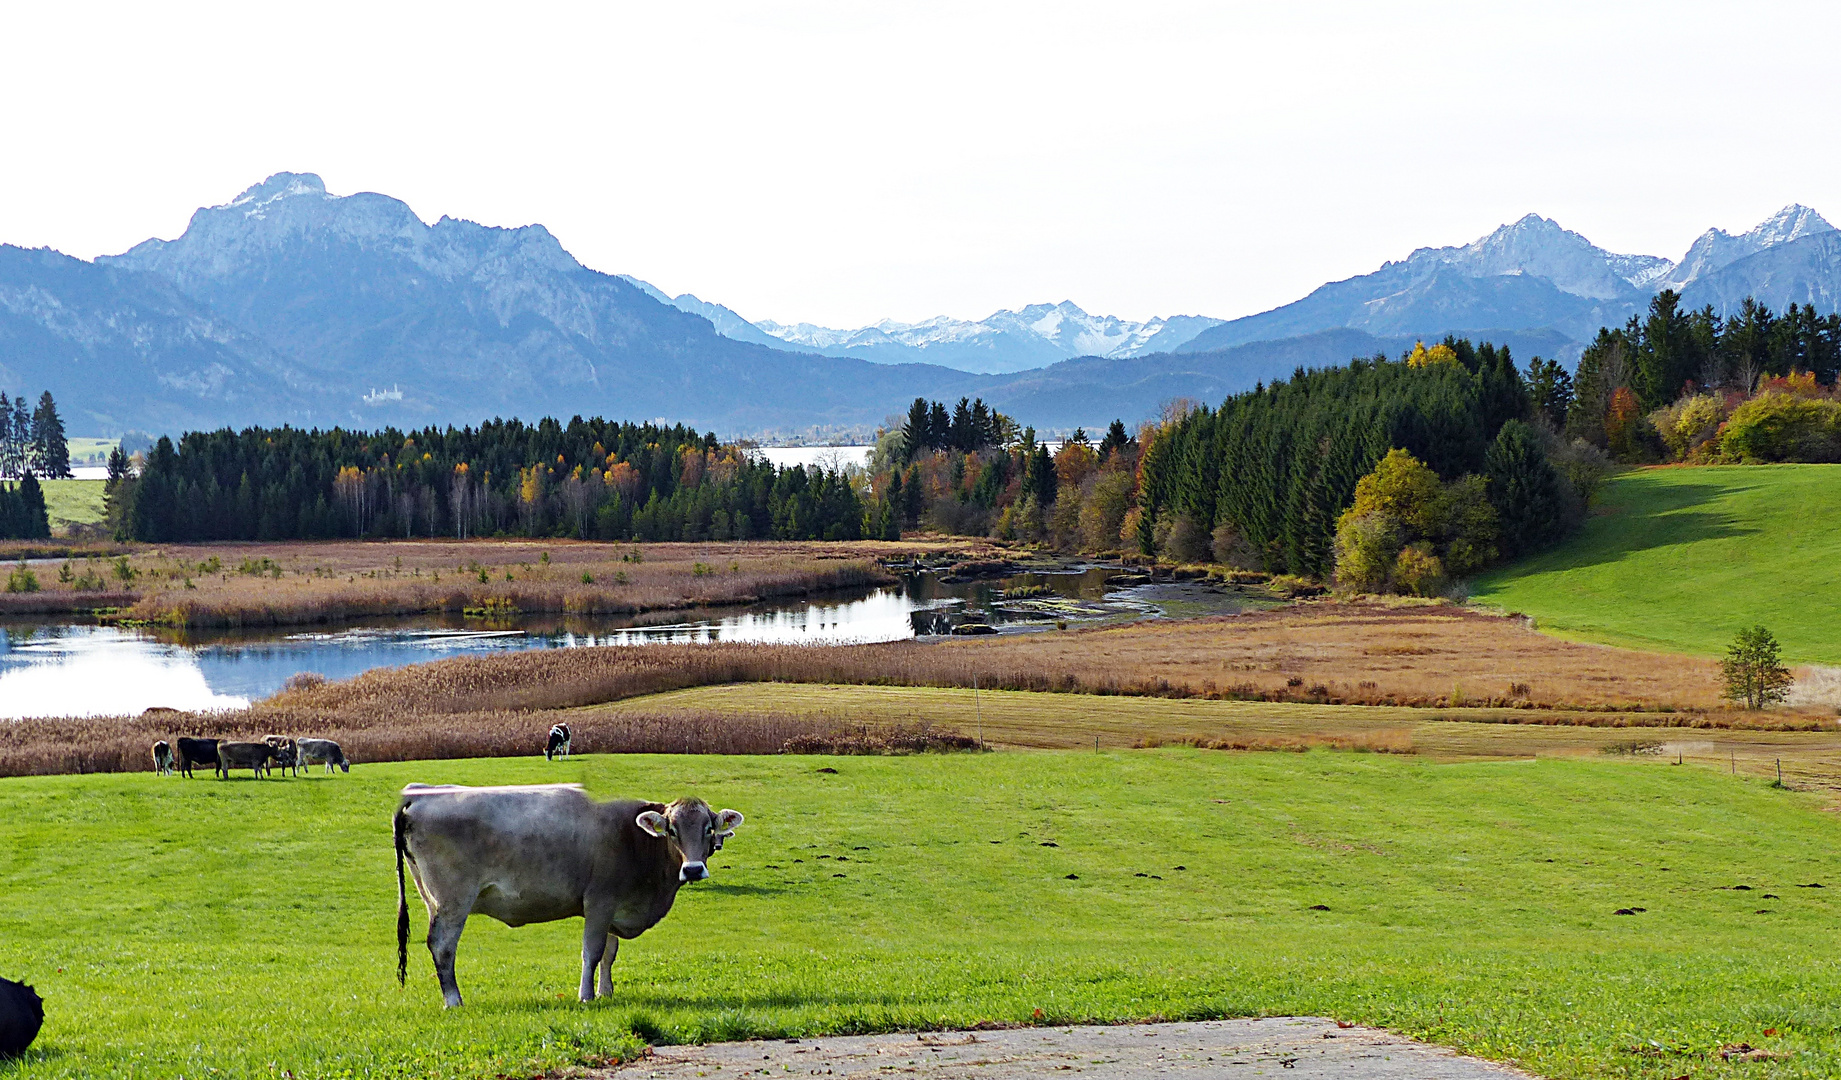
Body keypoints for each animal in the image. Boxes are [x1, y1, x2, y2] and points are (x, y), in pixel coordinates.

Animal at [393, 780, 740, 1008]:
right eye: (672, 830)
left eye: (709, 829)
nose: (693, 870)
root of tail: (420, 792)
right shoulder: (599, 900)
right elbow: (593, 951)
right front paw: (586, 996)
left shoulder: (613, 906)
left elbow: (610, 953)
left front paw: (606, 992)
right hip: (453, 901)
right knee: (443, 946)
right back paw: (454, 1000)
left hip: (431, 899)